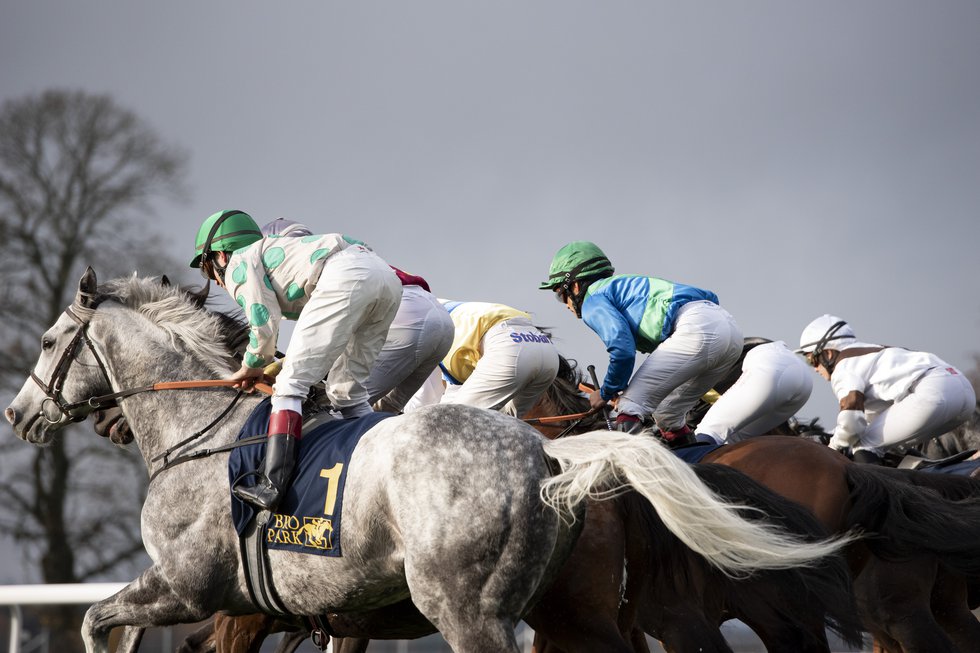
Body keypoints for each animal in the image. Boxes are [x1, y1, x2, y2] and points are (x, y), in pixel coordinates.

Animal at [5, 268, 848, 652]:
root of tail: (548, 453)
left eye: (47, 341)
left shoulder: (194, 588)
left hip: (470, 607)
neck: (202, 433)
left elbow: (96, 619)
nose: (17, 413)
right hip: (564, 611)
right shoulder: (307, 616)